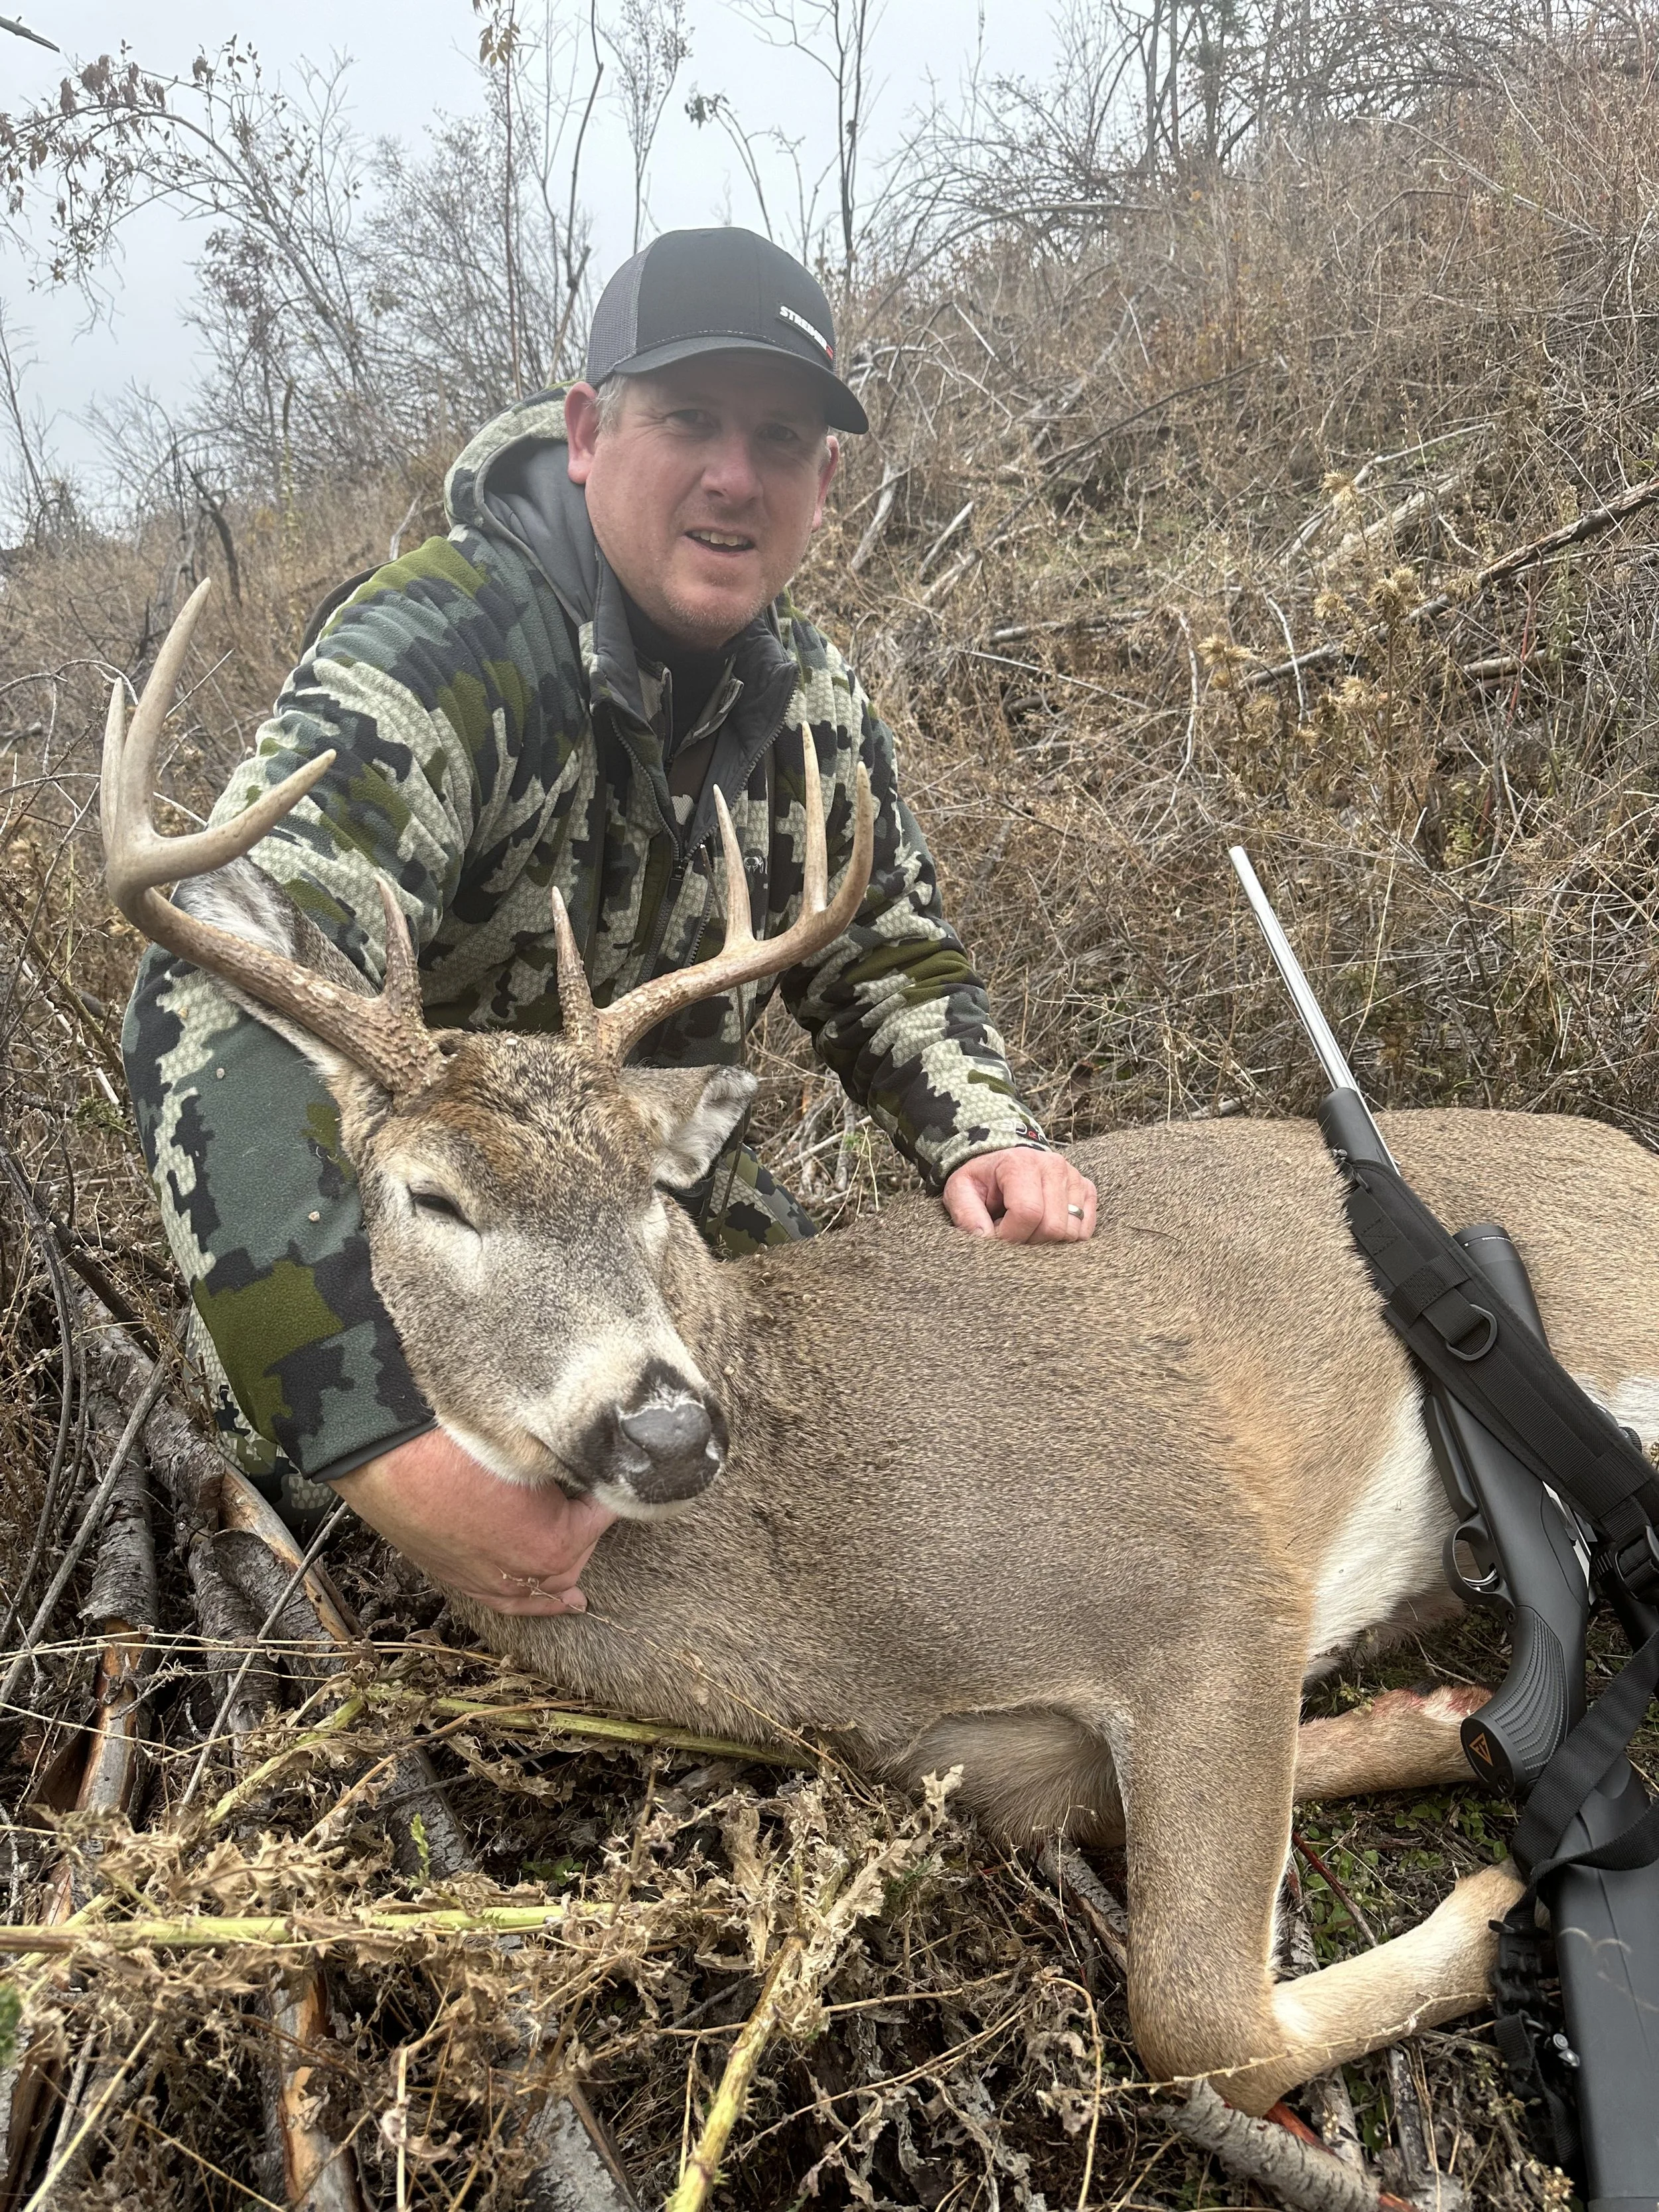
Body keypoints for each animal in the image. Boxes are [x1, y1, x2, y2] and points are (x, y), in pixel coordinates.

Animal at [102, 582, 1659, 2116]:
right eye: (432, 1198)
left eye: (650, 1188)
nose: (664, 1425)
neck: (829, 1624)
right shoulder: (1008, 1772)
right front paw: (1436, 1717)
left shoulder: (1208, 1576)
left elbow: (1196, 2018)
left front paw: (1494, 1895)